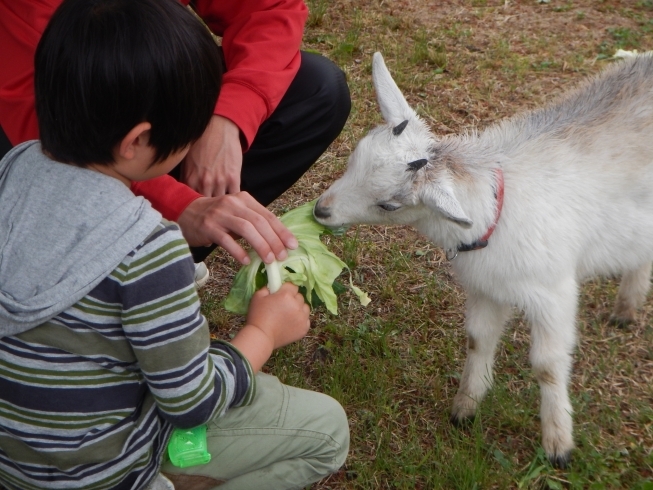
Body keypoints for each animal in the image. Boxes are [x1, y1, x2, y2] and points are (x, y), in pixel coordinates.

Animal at [314, 50, 652, 468]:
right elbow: (478, 341)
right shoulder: (486, 288)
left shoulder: (554, 294)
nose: (321, 211)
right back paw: (627, 306)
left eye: (389, 204)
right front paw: (465, 409)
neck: (494, 210)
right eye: (353, 158)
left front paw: (558, 444)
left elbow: (548, 366)